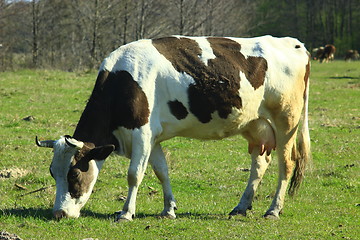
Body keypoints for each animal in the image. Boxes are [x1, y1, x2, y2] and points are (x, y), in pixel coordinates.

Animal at [37, 35, 312, 221]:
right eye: (52, 172)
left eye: (74, 174)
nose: (58, 213)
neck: (123, 81)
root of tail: (294, 43)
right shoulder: (153, 137)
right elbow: (162, 172)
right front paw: (168, 209)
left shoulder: (142, 133)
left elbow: (134, 174)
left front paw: (126, 213)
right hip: (256, 125)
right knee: (259, 164)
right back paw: (241, 207)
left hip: (287, 120)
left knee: (286, 164)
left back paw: (273, 209)